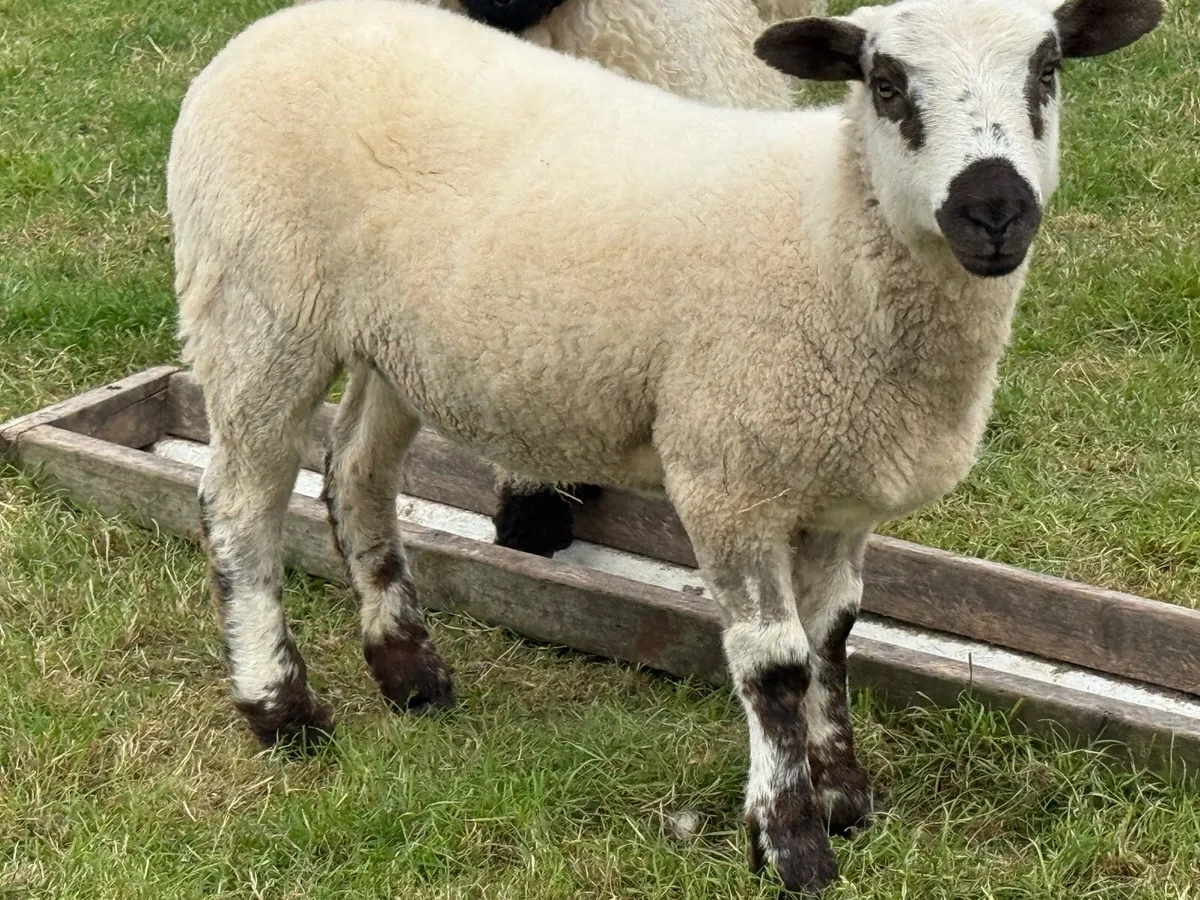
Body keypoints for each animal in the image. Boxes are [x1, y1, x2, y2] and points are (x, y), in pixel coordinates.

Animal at [167, 0, 1162, 891]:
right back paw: (281, 709)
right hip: (257, 306)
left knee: (355, 476)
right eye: (886, 84)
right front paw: (792, 844)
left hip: (396, 343)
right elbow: (777, 666)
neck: (829, 228)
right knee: (242, 506)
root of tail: (275, 28)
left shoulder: (842, 490)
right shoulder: (728, 475)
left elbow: (834, 640)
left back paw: (410, 674)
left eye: (1048, 70)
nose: (994, 207)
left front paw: (845, 796)